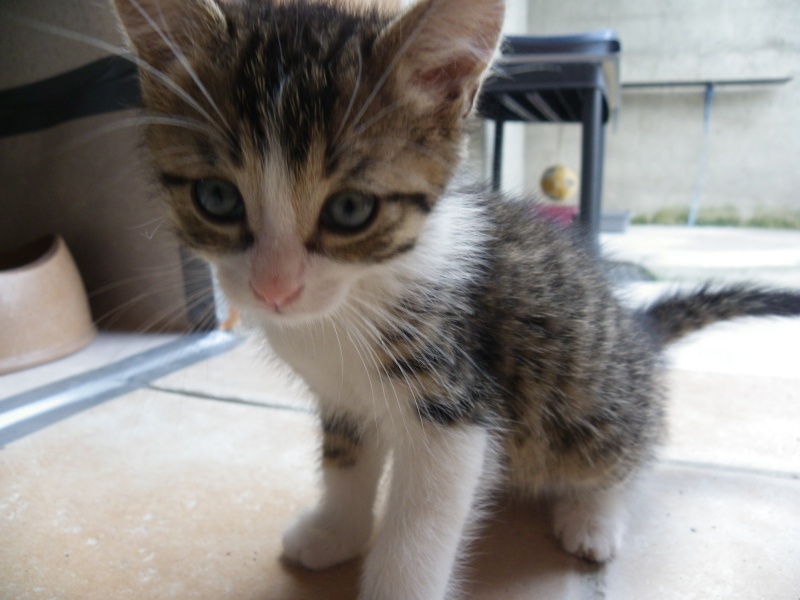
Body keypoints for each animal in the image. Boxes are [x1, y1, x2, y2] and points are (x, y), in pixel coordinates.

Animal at [112, 1, 800, 600]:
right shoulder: (342, 399)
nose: (274, 288)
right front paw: (335, 532)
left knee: (628, 454)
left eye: (351, 210)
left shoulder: (456, 403)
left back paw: (592, 518)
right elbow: (345, 463)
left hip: (592, 408)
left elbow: (420, 528)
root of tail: (639, 328)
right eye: (217, 199)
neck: (351, 301)